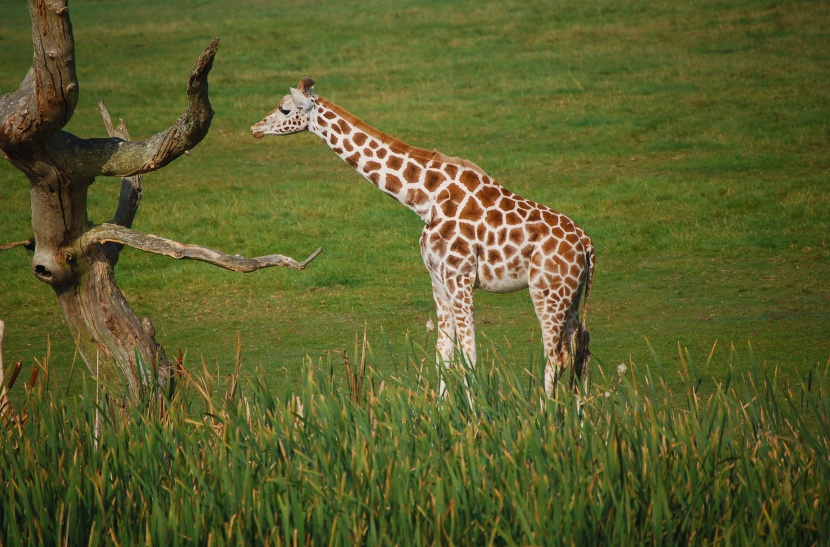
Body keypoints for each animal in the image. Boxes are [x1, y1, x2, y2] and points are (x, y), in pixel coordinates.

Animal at [250, 77, 596, 396]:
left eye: (284, 108)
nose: (255, 128)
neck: (425, 200)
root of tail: (587, 243)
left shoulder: (460, 277)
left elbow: (469, 356)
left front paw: (476, 417)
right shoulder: (438, 280)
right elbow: (444, 354)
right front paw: (443, 413)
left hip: (547, 291)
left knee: (556, 355)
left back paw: (546, 414)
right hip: (571, 295)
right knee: (581, 345)